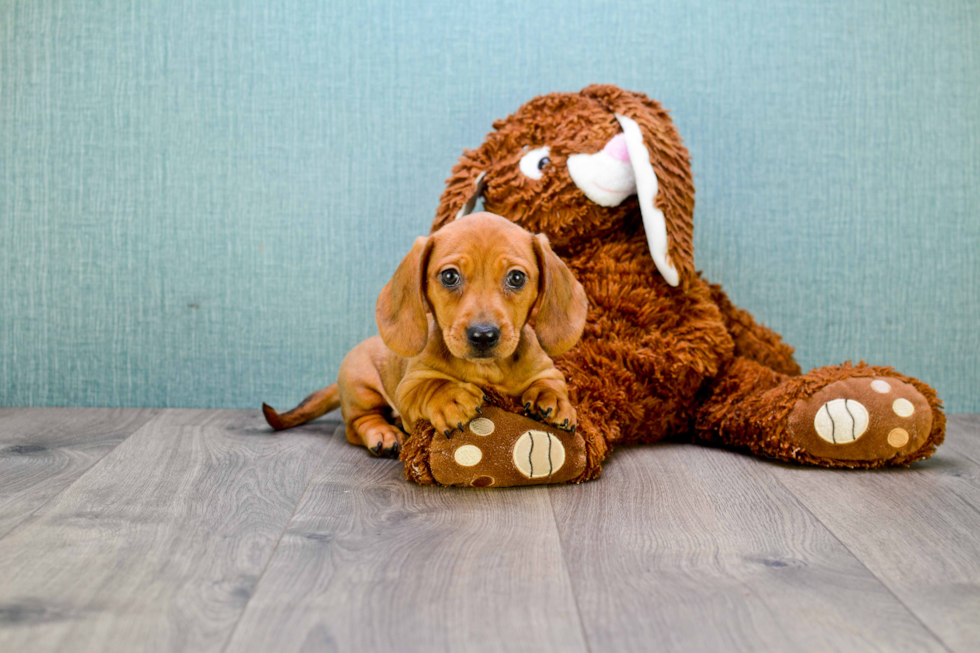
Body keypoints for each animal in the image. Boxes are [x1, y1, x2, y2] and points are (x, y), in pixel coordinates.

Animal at [262, 211, 588, 456]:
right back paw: (383, 434)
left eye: (517, 278)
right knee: (358, 423)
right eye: (449, 276)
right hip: (361, 387)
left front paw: (554, 400)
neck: (486, 368)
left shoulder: (546, 370)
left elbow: (550, 383)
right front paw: (452, 398)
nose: (483, 336)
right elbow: (432, 386)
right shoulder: (409, 387)